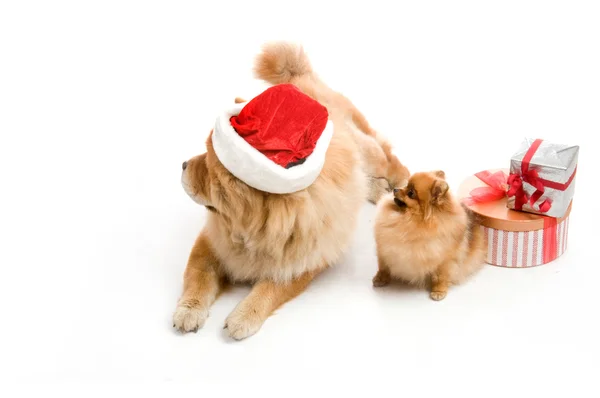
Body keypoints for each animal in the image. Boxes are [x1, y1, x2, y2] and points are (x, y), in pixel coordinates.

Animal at [171, 42, 410, 340]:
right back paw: (377, 190)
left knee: (389, 156)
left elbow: (269, 288)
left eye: (210, 169)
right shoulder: (211, 241)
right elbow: (198, 276)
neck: (253, 231)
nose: (182, 164)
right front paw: (188, 312)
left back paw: (398, 188)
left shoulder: (302, 260)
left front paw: (242, 318)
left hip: (369, 151)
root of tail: (298, 79)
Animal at [376, 169, 488, 300]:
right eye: (406, 185)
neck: (409, 222)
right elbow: (383, 267)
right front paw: (380, 278)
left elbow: (440, 277)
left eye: (411, 193)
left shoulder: (445, 260)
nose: (395, 189)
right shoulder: (385, 250)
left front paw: (438, 291)